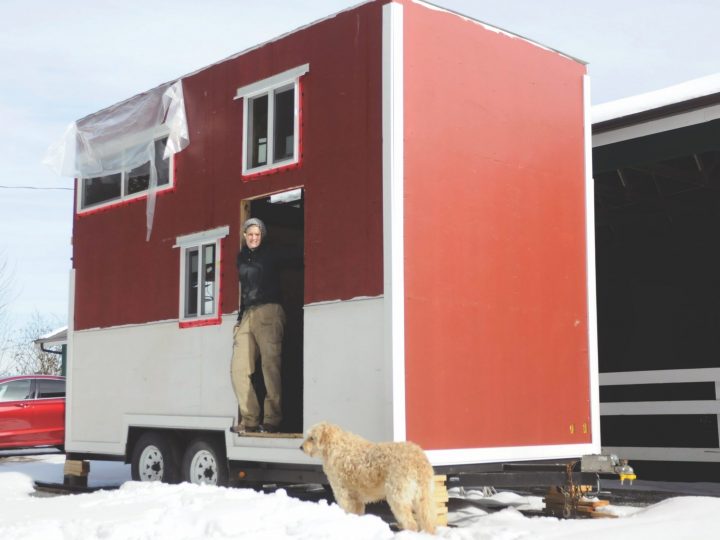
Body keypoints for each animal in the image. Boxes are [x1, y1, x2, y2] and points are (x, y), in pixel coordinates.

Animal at [300, 422, 436, 532]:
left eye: (312, 438)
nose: (300, 447)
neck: (335, 448)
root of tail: (418, 459)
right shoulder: (357, 500)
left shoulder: (344, 495)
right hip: (424, 498)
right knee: (429, 523)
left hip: (397, 497)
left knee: (411, 524)